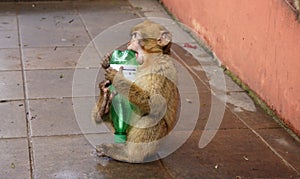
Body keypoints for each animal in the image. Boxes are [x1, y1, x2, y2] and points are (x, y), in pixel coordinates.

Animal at [91, 20, 179, 163]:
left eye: (136, 36)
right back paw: (104, 104)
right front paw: (107, 63)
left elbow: (156, 104)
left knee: (154, 117)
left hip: (154, 144)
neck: (148, 61)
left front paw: (118, 77)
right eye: (132, 36)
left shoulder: (162, 68)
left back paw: (128, 154)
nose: (128, 43)